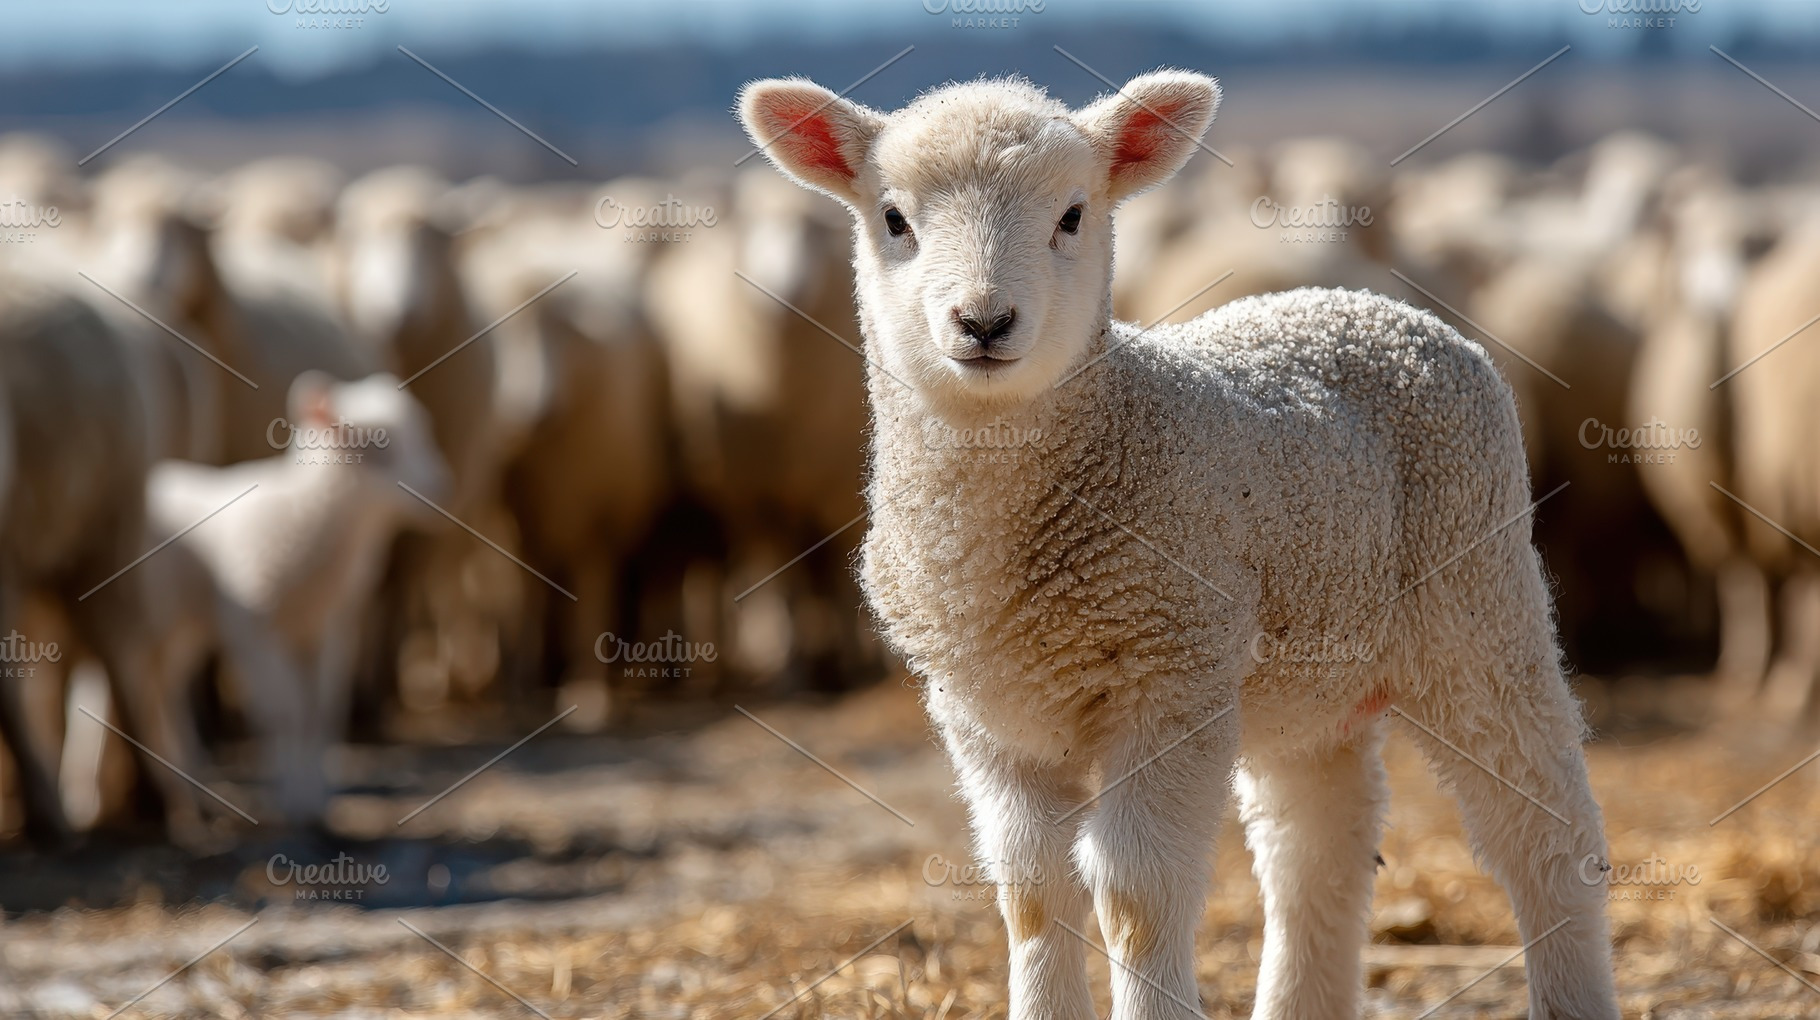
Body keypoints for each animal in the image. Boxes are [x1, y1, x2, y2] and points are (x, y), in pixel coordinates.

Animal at [739, 71, 1619, 1019]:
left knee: (1545, 835)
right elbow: (1032, 891)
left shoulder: (1173, 680)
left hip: (1477, 604)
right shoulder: (988, 716)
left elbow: (1136, 895)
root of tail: (1373, 305)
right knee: (1318, 851)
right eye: (893, 218)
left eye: (1074, 214)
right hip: (1311, 679)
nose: (983, 321)